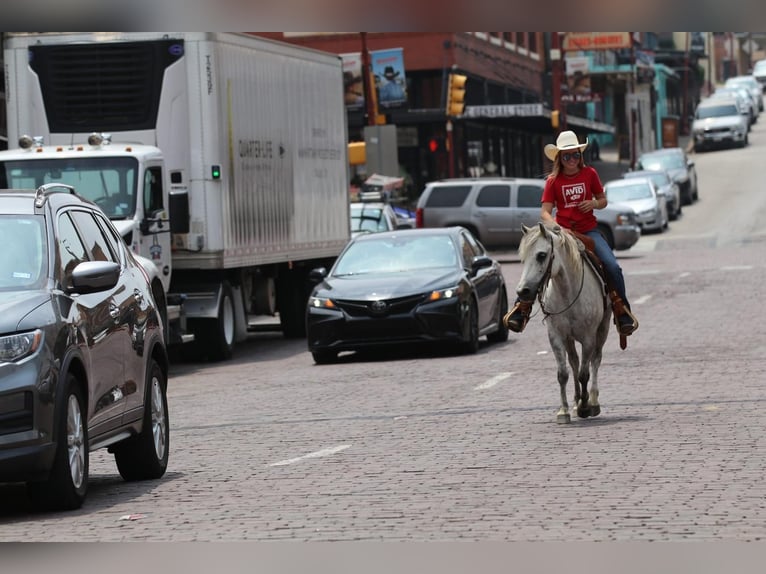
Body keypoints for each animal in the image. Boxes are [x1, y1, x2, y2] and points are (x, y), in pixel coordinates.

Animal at [516, 223, 612, 426]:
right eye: (523, 257)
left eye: (541, 255)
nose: (522, 291)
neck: (568, 292)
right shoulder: (556, 336)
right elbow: (563, 373)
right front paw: (564, 410)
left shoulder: (588, 338)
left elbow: (585, 373)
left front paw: (585, 407)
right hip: (569, 338)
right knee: (574, 363)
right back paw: (576, 401)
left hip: (603, 329)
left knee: (595, 360)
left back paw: (592, 400)